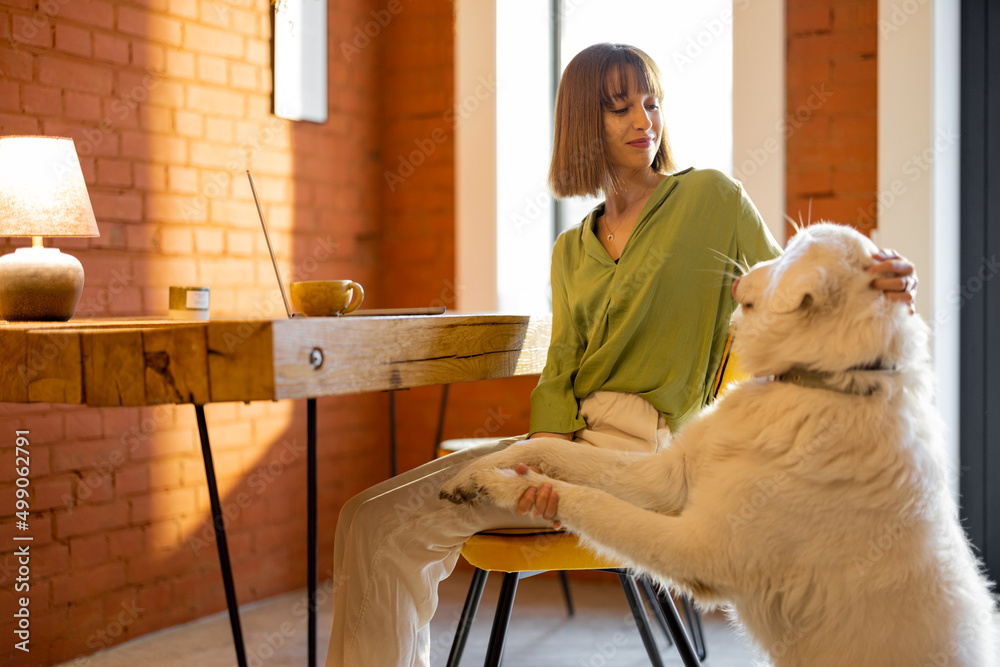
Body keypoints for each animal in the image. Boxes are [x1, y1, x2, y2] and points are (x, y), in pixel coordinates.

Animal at [442, 222, 996, 664]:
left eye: (789, 252)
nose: (740, 271)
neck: (815, 380)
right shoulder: (665, 478)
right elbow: (554, 452)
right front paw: (476, 472)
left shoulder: (696, 548)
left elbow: (587, 500)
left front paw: (513, 488)